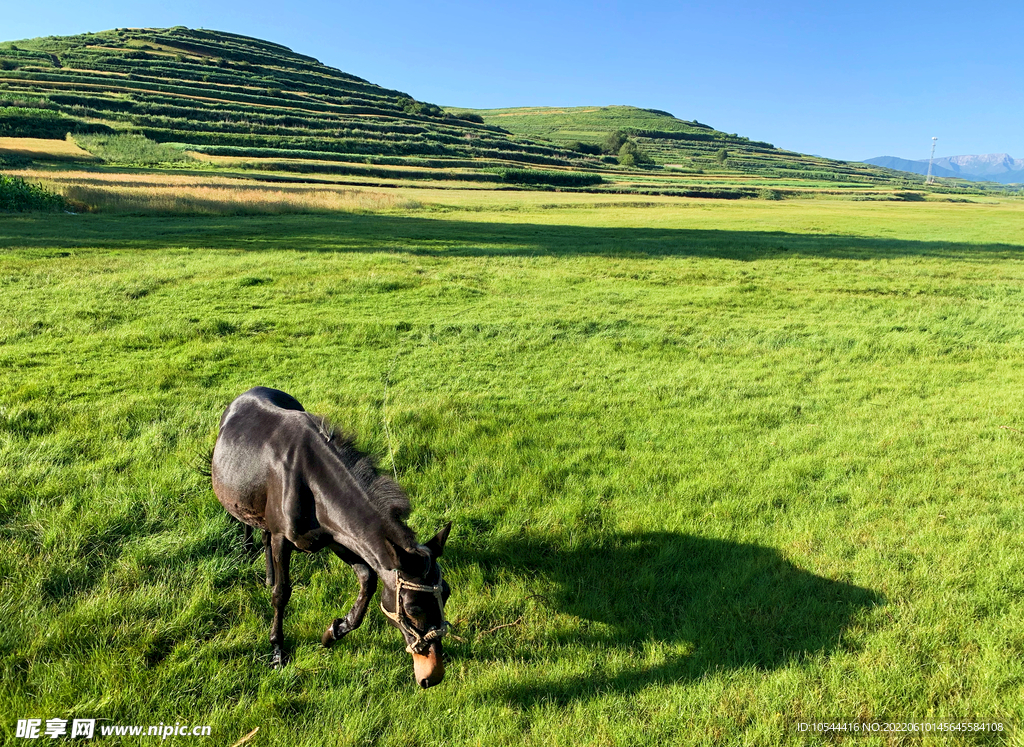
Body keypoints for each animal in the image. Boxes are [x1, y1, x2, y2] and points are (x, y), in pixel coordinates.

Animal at [209, 387, 450, 684]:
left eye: (447, 594)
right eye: (413, 609)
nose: (434, 674)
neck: (311, 480)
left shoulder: (338, 538)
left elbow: (367, 580)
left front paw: (334, 631)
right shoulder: (282, 538)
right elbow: (282, 593)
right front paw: (277, 649)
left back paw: (267, 575)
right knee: (249, 525)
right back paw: (248, 551)